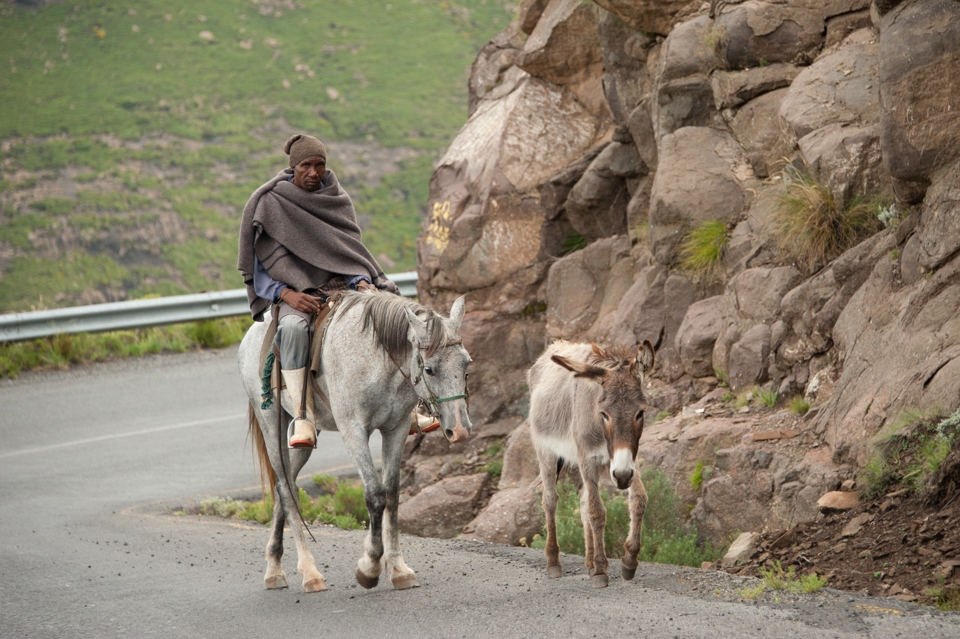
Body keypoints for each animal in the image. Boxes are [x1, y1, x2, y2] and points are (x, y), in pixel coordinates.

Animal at [237, 290, 472, 592]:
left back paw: (274, 568)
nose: (460, 430)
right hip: (271, 427)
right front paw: (369, 567)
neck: (375, 360)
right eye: (429, 369)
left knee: (283, 486)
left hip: (304, 441)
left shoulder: (395, 430)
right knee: (288, 492)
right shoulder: (353, 431)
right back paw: (310, 573)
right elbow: (374, 495)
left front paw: (399, 569)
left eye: (466, 364)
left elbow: (392, 494)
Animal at [528, 339, 656, 588]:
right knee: (550, 500)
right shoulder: (588, 459)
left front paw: (628, 562)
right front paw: (600, 571)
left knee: (582, 502)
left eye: (640, 412)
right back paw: (554, 562)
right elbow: (597, 511)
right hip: (546, 451)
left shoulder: (626, 460)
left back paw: (588, 562)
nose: (622, 477)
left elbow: (638, 500)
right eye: (604, 413)